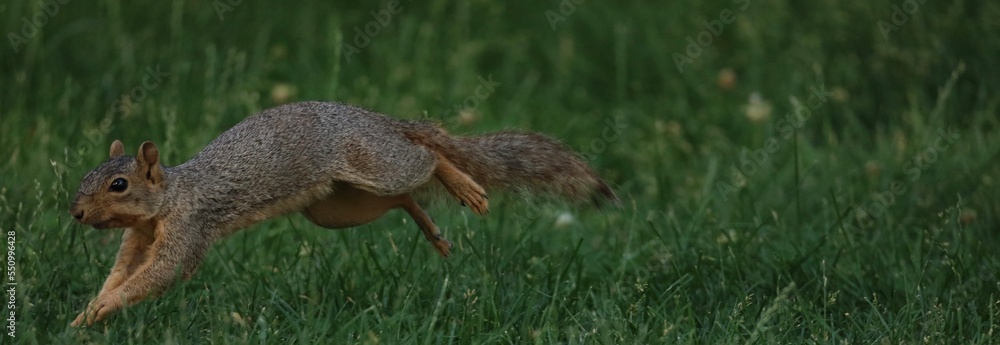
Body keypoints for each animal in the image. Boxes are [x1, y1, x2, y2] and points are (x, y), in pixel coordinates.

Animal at [68, 100, 616, 326]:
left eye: (118, 185)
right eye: (87, 176)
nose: (75, 212)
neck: (169, 198)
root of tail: (379, 122)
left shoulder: (189, 227)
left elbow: (163, 272)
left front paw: (99, 311)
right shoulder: (139, 236)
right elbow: (123, 271)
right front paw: (86, 312)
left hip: (375, 166)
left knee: (426, 157)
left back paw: (460, 182)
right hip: (337, 206)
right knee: (403, 198)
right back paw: (432, 231)